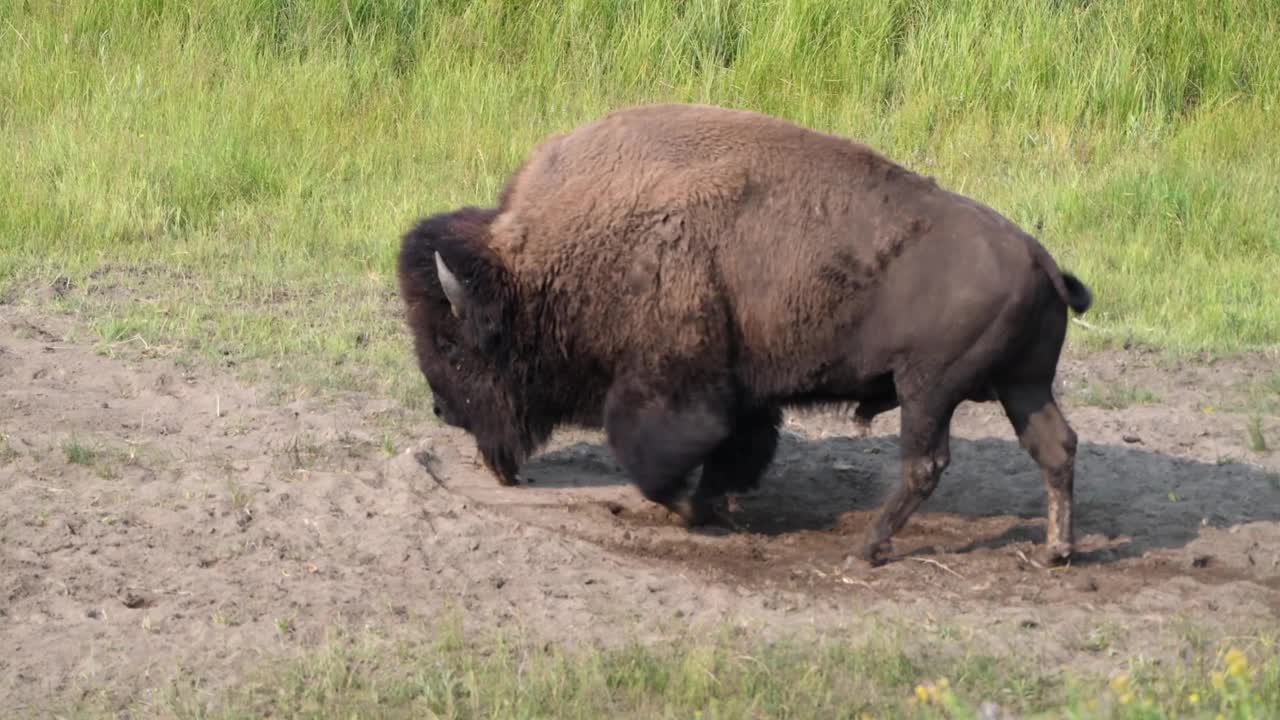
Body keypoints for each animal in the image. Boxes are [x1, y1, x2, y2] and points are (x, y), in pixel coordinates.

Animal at [396, 102, 1090, 566]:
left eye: (455, 343)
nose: (441, 409)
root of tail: (1040, 260)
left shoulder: (671, 384)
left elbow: (660, 452)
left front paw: (691, 510)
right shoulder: (744, 392)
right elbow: (737, 448)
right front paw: (716, 504)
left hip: (929, 390)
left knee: (925, 464)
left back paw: (865, 550)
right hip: (1022, 385)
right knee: (1055, 446)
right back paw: (1056, 551)